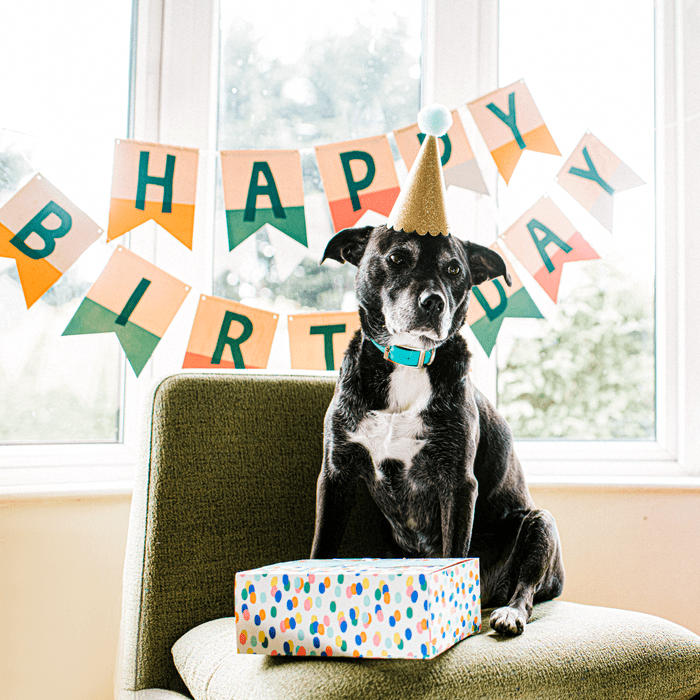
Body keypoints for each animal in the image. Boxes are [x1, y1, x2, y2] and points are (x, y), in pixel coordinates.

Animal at [308, 224, 568, 636]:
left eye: (454, 269)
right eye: (397, 258)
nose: (435, 303)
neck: (408, 360)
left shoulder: (457, 484)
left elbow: (453, 552)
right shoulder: (335, 477)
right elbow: (321, 548)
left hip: (539, 523)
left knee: (526, 587)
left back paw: (509, 612)